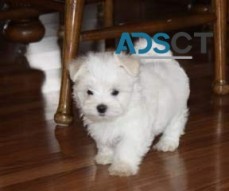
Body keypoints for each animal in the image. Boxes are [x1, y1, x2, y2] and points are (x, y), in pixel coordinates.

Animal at [68, 38, 190, 176]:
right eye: (89, 92)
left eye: (115, 92)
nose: (101, 107)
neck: (113, 118)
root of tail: (165, 61)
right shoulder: (100, 129)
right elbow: (104, 142)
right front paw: (105, 156)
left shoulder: (134, 130)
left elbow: (126, 149)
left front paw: (122, 167)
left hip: (178, 107)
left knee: (175, 124)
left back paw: (168, 142)